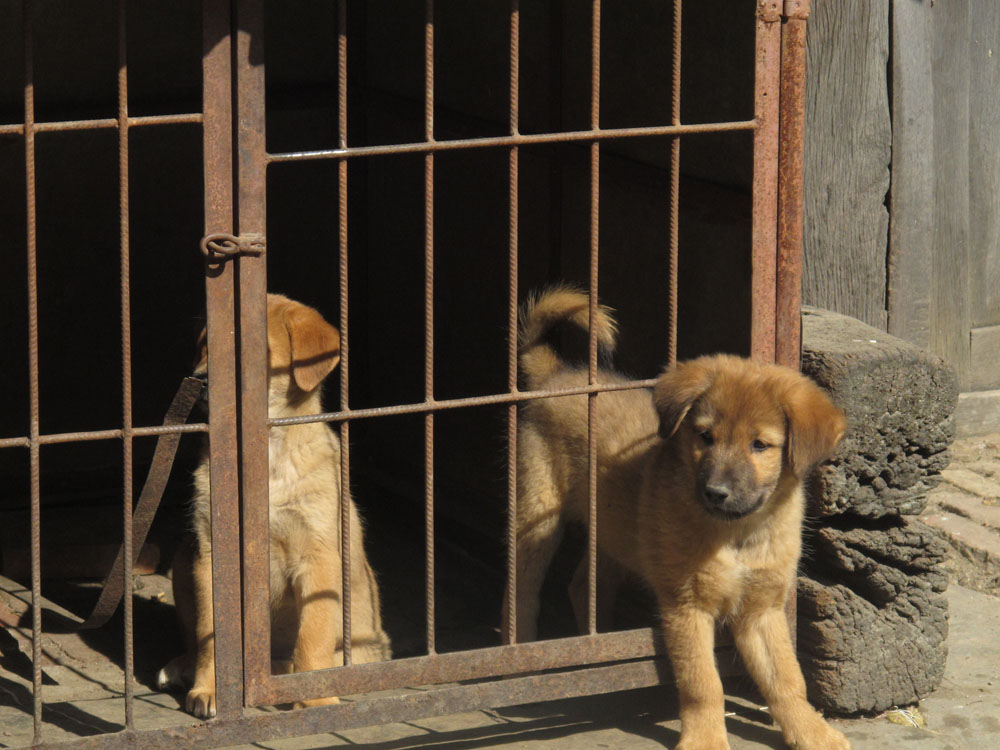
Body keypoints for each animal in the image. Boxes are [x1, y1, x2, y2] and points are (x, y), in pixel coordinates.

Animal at [157, 296, 390, 724]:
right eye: (205, 346)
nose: (199, 381)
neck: (265, 455)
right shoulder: (211, 555)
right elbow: (212, 635)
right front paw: (211, 688)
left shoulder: (318, 559)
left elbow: (312, 638)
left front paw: (315, 701)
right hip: (183, 558)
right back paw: (183, 666)